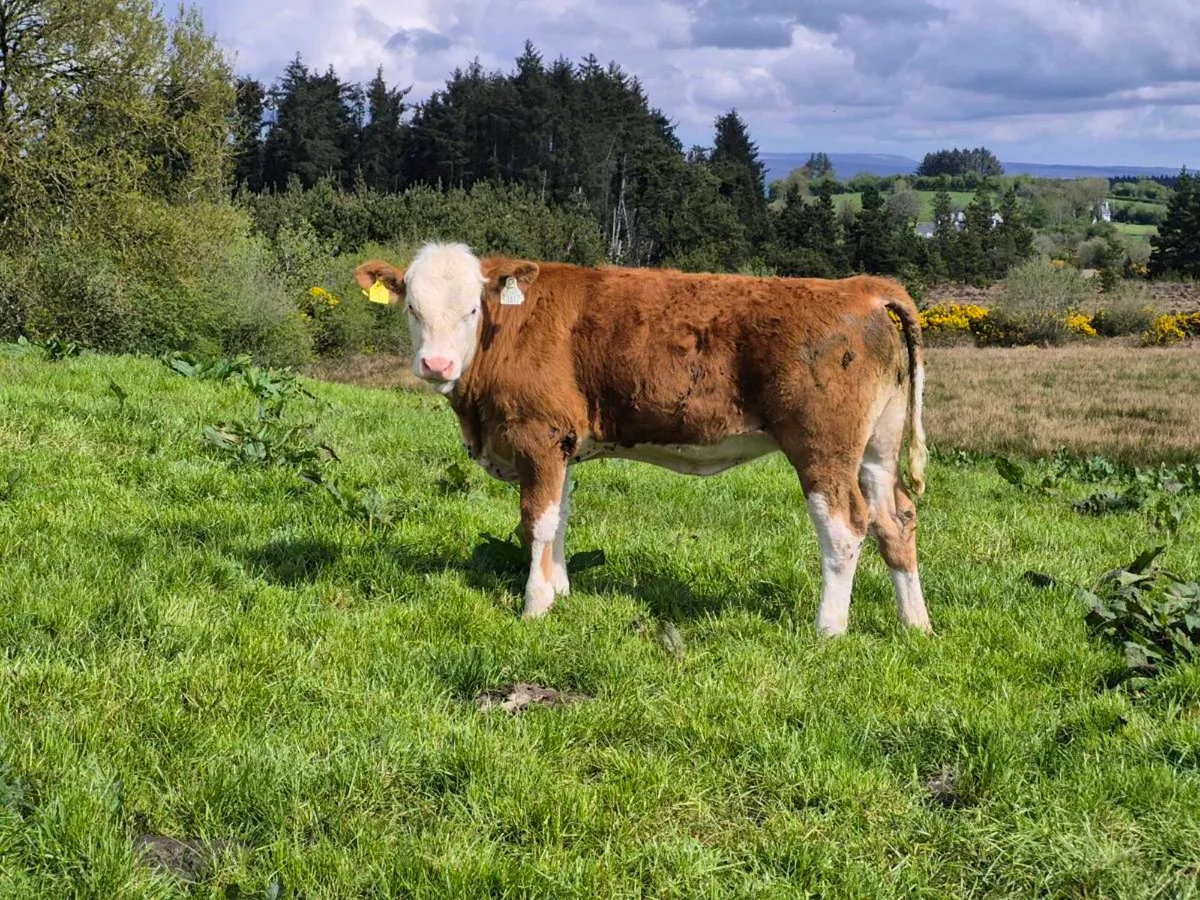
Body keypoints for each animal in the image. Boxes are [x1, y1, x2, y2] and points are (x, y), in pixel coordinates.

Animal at [354, 243, 932, 636]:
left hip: (823, 448)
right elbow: (561, 517)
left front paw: (536, 605)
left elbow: (536, 522)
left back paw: (828, 628)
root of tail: (861, 287)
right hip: (876, 448)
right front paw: (562, 591)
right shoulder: (566, 444)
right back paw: (915, 623)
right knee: (895, 519)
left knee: (845, 526)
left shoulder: (539, 436)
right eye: (413, 309)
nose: (436, 364)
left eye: (472, 308)